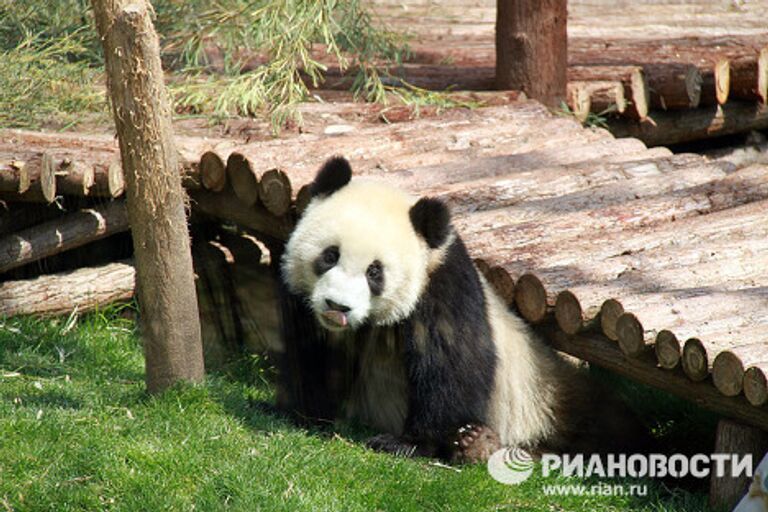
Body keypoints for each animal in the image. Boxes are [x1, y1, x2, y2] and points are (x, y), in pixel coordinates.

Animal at [278, 156, 648, 464]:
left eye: (375, 273)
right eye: (330, 255)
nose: (337, 306)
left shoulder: (441, 286)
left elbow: (451, 365)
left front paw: (407, 443)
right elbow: (311, 356)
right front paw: (300, 411)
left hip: (543, 396)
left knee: (604, 423)